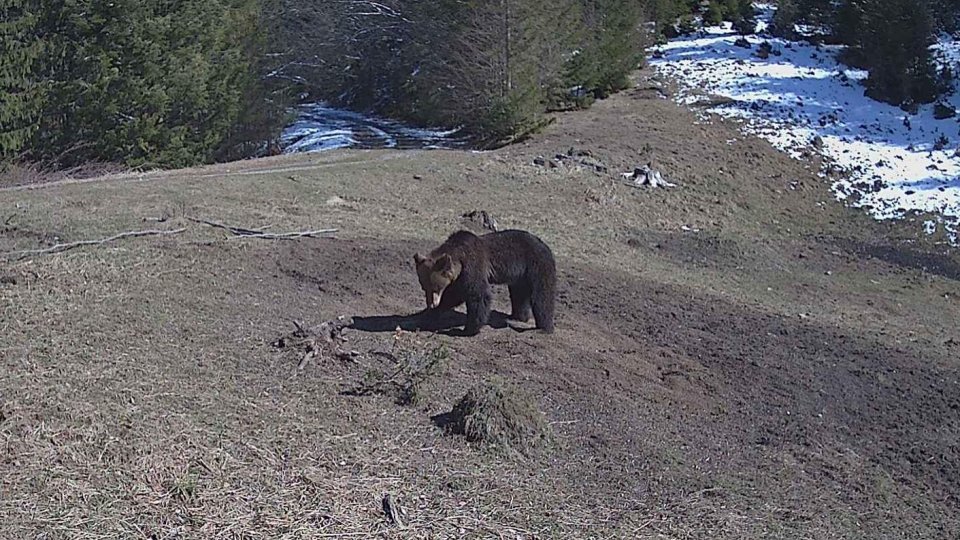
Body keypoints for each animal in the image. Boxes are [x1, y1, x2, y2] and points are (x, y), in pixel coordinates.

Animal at [412, 229, 556, 338]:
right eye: (424, 287)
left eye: (436, 287)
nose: (431, 304)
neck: (460, 257)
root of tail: (544, 245)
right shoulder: (460, 277)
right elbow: (454, 295)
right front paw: (431, 312)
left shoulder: (473, 266)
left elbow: (478, 294)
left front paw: (467, 329)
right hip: (520, 277)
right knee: (519, 294)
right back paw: (517, 317)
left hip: (537, 266)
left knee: (542, 296)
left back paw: (543, 328)